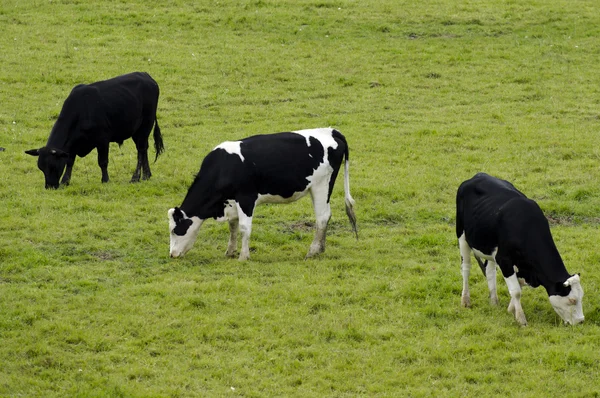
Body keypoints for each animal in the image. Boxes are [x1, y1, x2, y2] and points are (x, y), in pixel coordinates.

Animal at [25, 71, 163, 190]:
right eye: (41, 168)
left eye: (53, 166)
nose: (50, 187)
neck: (81, 110)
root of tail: (147, 77)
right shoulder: (72, 144)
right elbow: (70, 162)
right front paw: (65, 181)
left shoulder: (103, 140)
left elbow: (103, 161)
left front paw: (105, 180)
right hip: (137, 131)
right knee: (144, 149)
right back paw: (146, 175)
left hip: (145, 126)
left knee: (141, 150)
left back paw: (135, 177)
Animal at [166, 127, 358, 262]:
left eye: (175, 230)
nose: (172, 254)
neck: (224, 167)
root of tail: (331, 131)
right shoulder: (231, 202)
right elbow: (233, 226)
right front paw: (230, 251)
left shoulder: (246, 199)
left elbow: (244, 228)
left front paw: (243, 256)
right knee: (325, 216)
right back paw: (320, 249)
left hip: (321, 186)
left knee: (322, 217)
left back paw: (312, 251)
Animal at [458, 173, 584, 326]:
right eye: (572, 300)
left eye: (582, 296)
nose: (581, 321)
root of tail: (479, 175)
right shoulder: (504, 259)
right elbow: (516, 291)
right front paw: (520, 318)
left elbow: (519, 285)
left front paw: (510, 309)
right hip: (462, 236)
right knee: (466, 268)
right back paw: (465, 301)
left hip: (489, 247)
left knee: (489, 271)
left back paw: (494, 302)